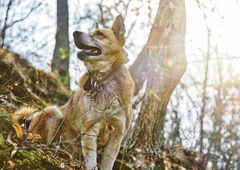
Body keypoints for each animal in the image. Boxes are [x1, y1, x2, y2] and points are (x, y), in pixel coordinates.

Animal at [20, 15, 135, 169]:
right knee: (44, 141)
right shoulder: (90, 130)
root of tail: (28, 121)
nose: (75, 33)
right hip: (53, 112)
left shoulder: (116, 137)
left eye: (99, 34)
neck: (102, 80)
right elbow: (91, 162)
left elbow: (107, 164)